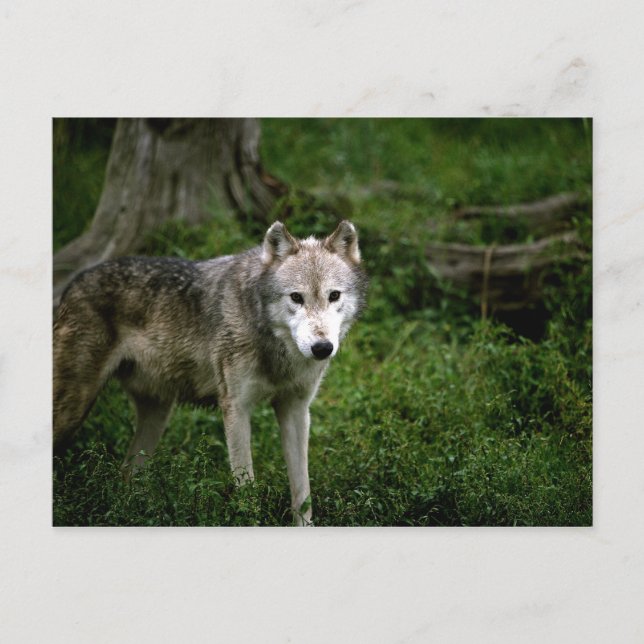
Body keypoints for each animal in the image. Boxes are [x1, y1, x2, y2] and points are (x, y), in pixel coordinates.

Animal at [53, 220, 367, 525]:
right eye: (296, 298)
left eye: (333, 296)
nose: (322, 348)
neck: (274, 348)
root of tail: (72, 285)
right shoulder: (236, 408)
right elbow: (247, 488)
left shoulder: (296, 410)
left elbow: (303, 493)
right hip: (73, 410)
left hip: (156, 416)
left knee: (126, 474)